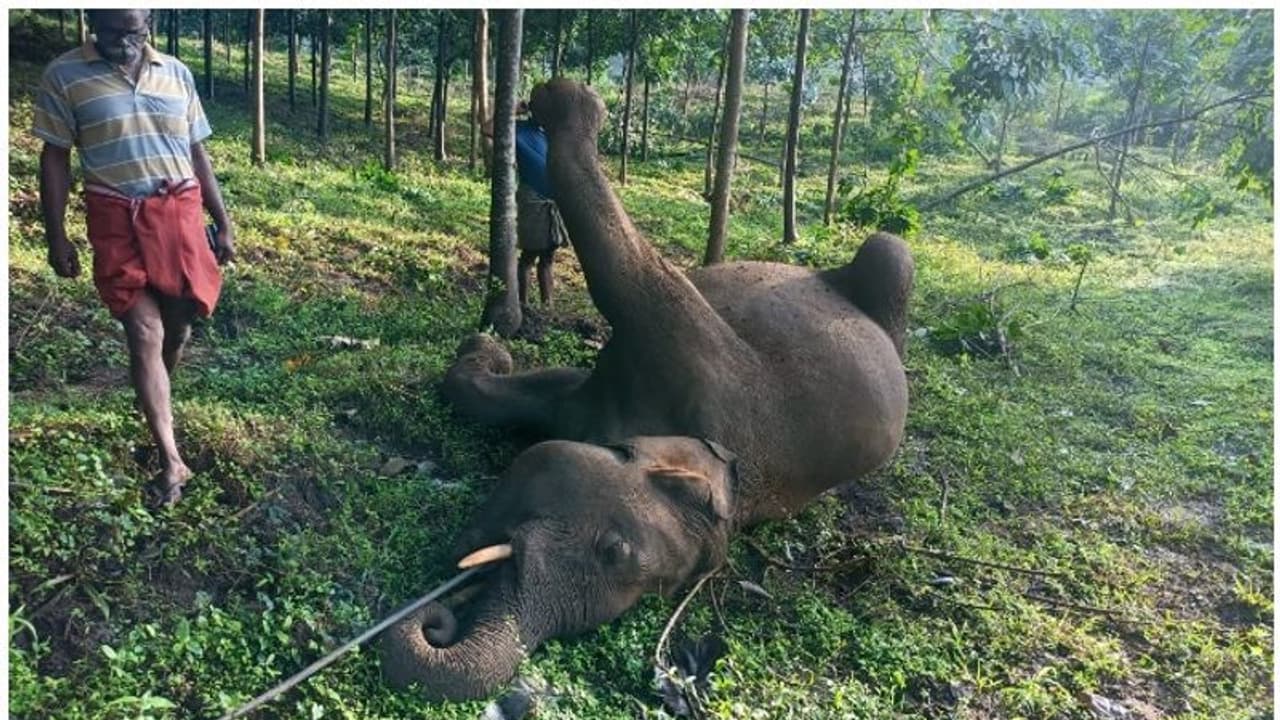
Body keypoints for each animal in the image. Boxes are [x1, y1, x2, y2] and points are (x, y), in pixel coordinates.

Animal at [381, 79, 914, 702]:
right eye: (612, 548)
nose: (439, 619)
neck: (735, 478)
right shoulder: (694, 355)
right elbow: (620, 287)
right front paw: (564, 101)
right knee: (889, 249)